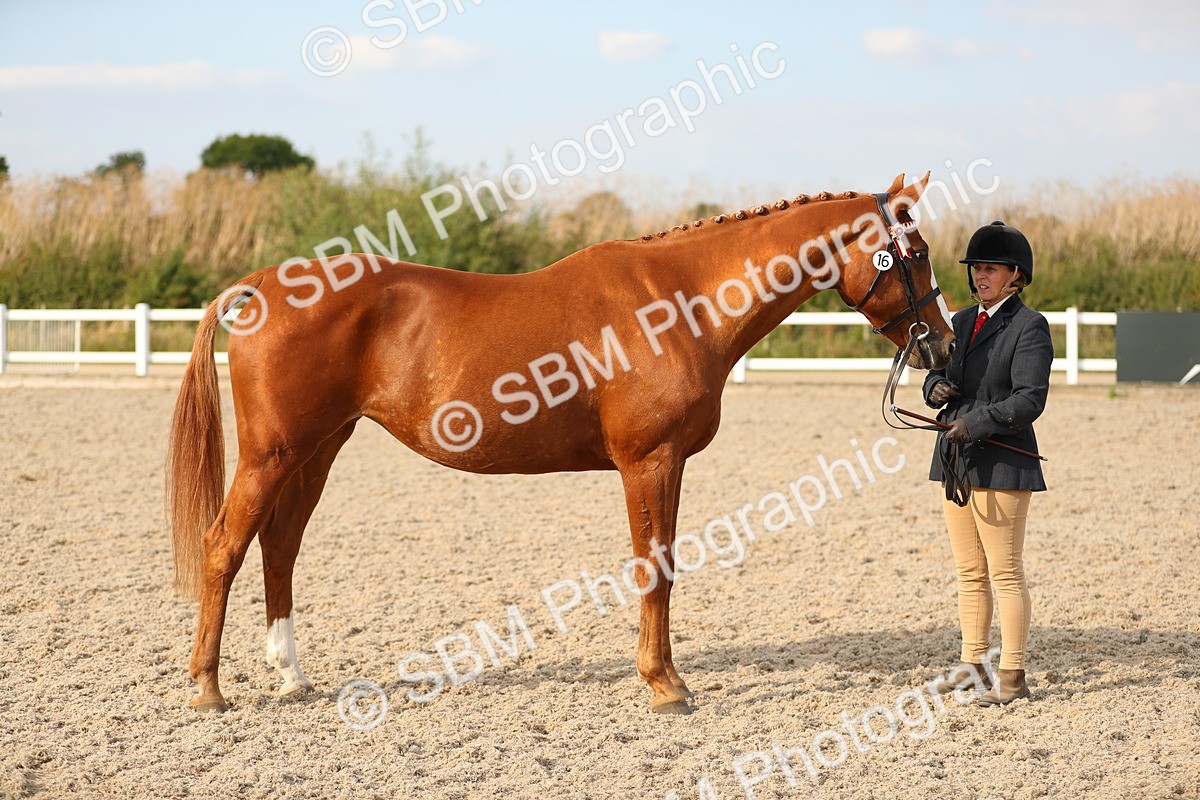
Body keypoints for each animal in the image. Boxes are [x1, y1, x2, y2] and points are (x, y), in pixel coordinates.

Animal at [166, 172, 954, 715]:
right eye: (913, 252)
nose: (943, 348)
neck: (680, 302)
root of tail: (262, 285)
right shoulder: (648, 462)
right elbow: (655, 568)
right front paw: (666, 686)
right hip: (273, 454)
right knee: (225, 546)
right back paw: (208, 688)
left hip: (318, 449)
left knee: (280, 547)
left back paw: (292, 676)